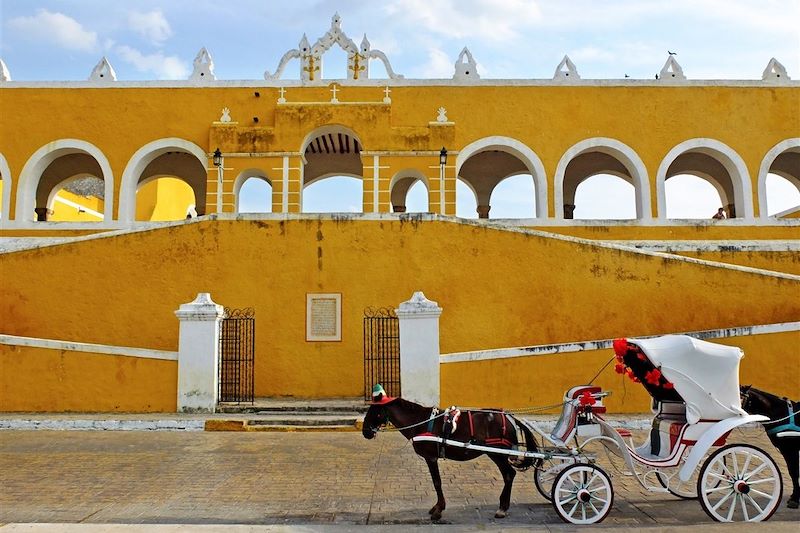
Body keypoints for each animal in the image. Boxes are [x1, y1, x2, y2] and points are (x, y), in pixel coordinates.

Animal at [362, 394, 536, 520]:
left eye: (374, 410)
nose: (365, 431)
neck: (420, 422)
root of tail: (509, 417)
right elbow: (437, 482)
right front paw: (437, 507)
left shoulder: (431, 457)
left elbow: (437, 482)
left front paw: (438, 510)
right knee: (509, 474)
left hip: (496, 453)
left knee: (509, 474)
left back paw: (502, 509)